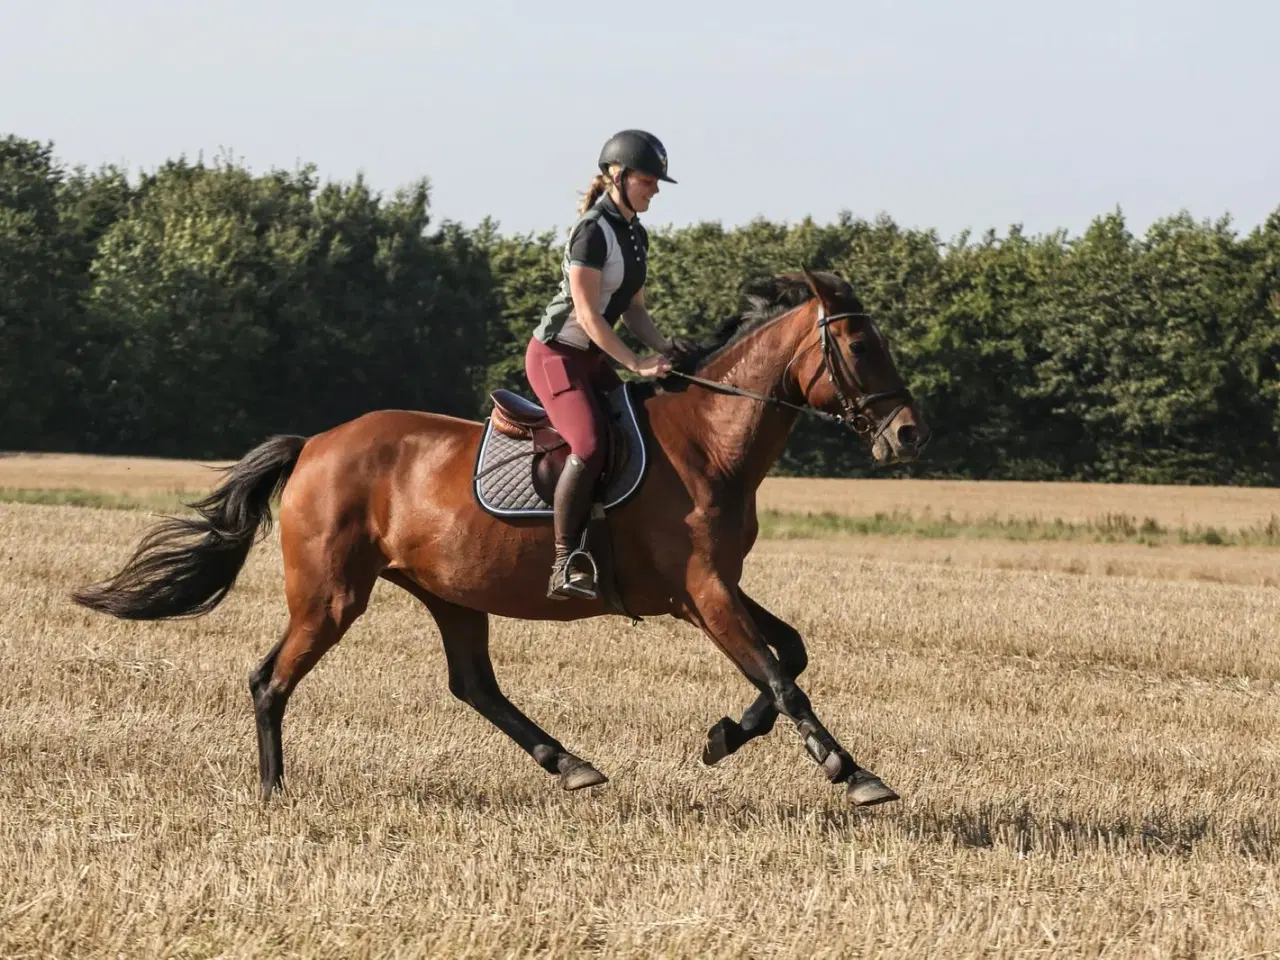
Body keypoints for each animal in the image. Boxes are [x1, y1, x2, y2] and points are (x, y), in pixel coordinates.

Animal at [70, 267, 931, 808]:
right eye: (860, 347)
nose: (908, 435)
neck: (709, 440)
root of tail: (315, 443)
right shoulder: (703, 591)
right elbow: (783, 677)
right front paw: (852, 772)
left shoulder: (714, 587)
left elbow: (790, 655)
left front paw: (723, 737)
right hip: (331, 595)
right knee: (269, 680)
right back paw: (274, 792)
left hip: (449, 590)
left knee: (473, 684)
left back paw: (570, 764)